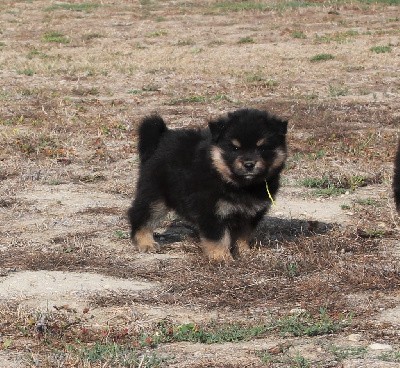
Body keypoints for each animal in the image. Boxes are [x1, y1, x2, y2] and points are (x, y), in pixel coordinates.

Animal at [128, 107, 288, 262]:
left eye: (262, 147)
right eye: (235, 148)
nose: (249, 164)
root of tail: (162, 137)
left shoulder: (250, 213)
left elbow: (243, 234)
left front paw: (244, 252)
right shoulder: (211, 211)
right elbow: (219, 238)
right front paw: (221, 257)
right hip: (155, 196)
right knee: (140, 215)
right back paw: (146, 243)